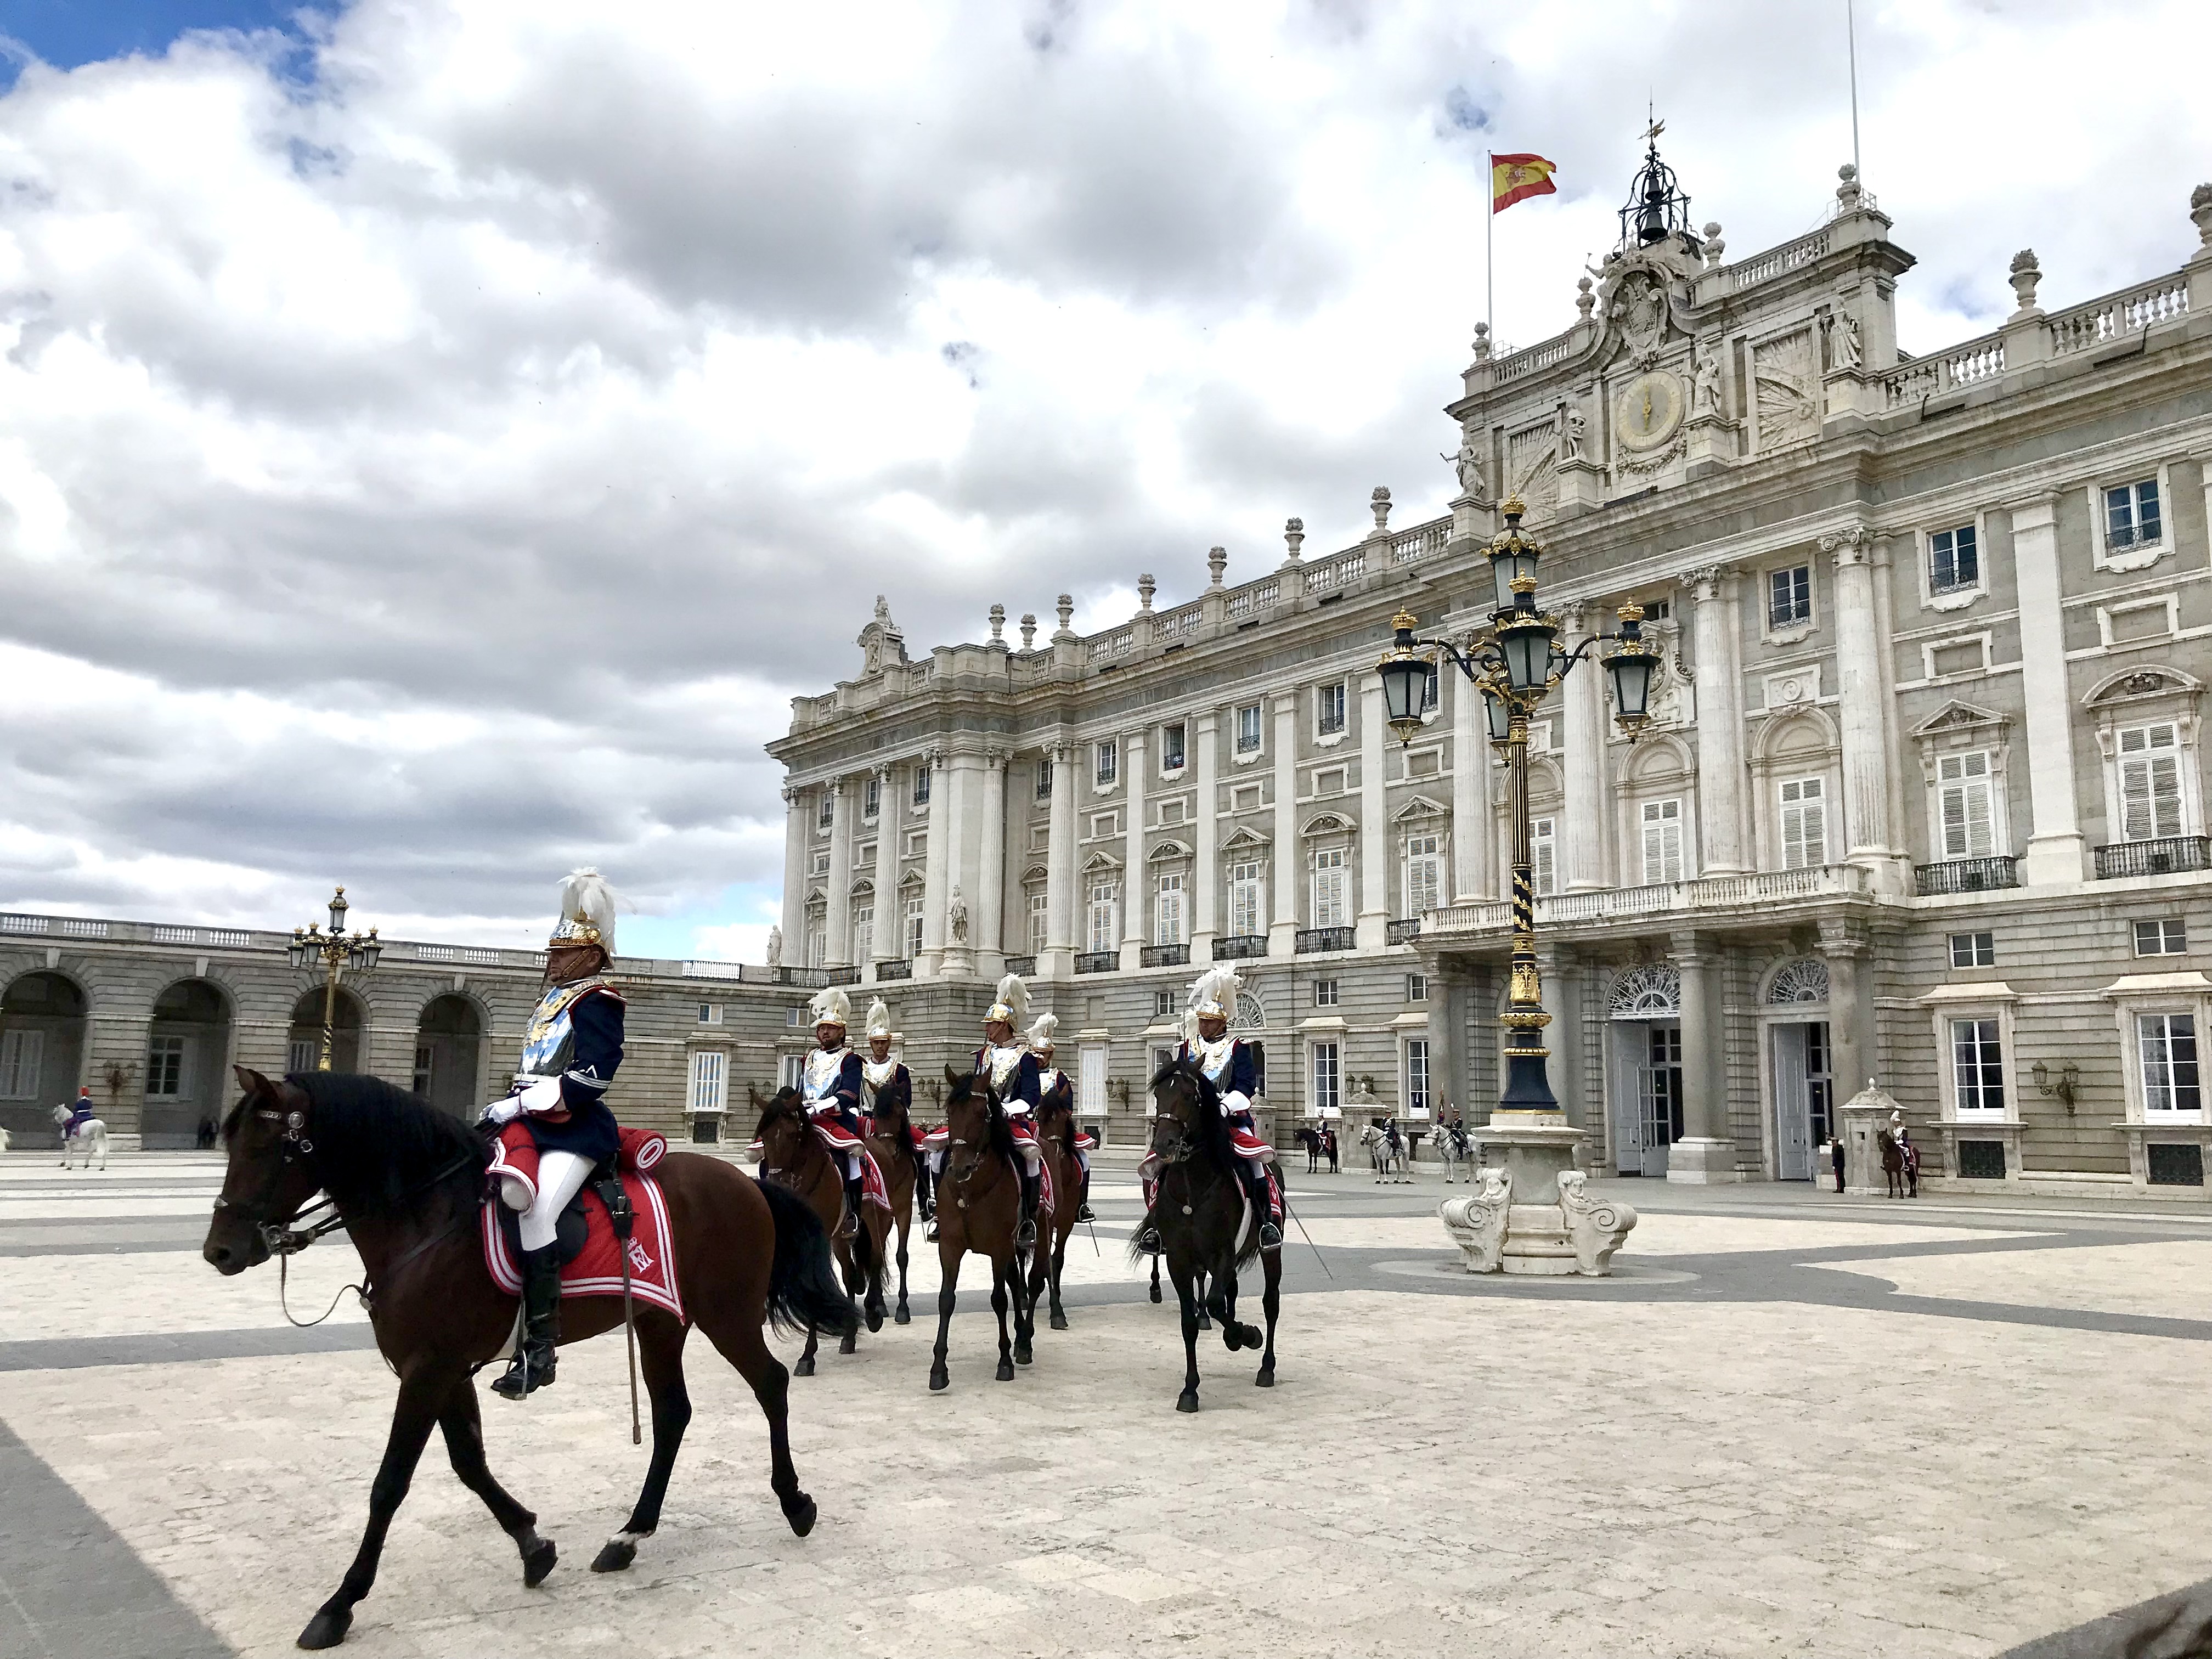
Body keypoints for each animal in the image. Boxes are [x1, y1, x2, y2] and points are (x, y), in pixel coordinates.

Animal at [202, 1068, 849, 1650]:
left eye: (268, 1148)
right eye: (232, 1145)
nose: (219, 1252)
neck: (426, 1218)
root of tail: (748, 1183)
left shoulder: (427, 1370)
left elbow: (390, 1484)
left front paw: (340, 1604)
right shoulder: (443, 1369)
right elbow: (469, 1462)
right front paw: (534, 1547)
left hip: (726, 1314)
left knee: (769, 1385)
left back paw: (794, 1503)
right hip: (661, 1320)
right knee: (673, 1414)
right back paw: (628, 1537)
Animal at [750, 1086, 891, 1375]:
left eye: (792, 1135)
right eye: (764, 1137)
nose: (777, 1183)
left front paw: (807, 1356)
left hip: (877, 1221)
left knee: (874, 1260)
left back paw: (872, 1314)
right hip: (841, 1238)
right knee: (850, 1275)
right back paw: (849, 1336)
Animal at [929, 1065, 1034, 1390]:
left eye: (981, 1112)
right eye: (950, 1110)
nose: (960, 1168)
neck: (971, 1191)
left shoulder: (999, 1247)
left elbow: (999, 1299)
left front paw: (1004, 1361)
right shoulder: (950, 1247)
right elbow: (946, 1300)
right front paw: (938, 1368)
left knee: (1031, 1282)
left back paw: (1023, 1343)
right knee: (1016, 1281)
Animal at [1133, 1059, 1279, 1412]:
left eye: (1188, 1095)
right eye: (1157, 1094)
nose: (1164, 1145)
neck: (1191, 1186)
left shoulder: (1222, 1253)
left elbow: (1214, 1303)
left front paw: (1246, 1335)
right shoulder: (1179, 1261)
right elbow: (1190, 1322)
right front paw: (1190, 1389)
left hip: (1271, 1253)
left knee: (1271, 1303)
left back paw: (1266, 1366)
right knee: (1231, 1292)